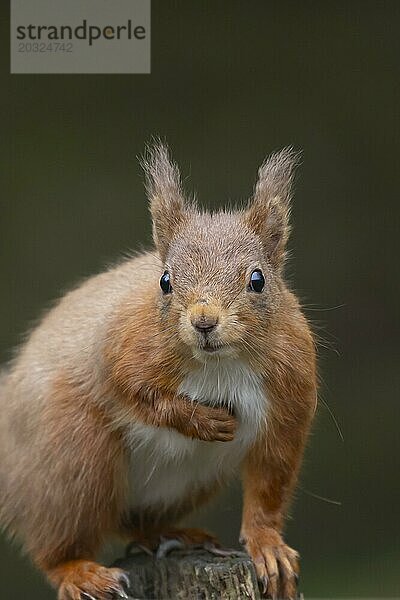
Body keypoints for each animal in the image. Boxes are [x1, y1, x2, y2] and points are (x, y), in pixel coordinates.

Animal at [1, 143, 318, 596]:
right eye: (165, 281)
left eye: (257, 280)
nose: (204, 321)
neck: (218, 363)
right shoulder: (119, 347)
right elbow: (133, 391)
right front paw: (201, 420)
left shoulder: (290, 390)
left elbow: (270, 484)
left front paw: (268, 546)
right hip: (73, 457)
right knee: (57, 545)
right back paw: (80, 572)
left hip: (184, 484)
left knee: (131, 521)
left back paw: (174, 535)